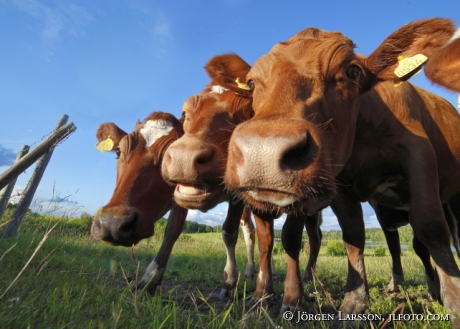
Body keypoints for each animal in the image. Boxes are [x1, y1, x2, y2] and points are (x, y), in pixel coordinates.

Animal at [224, 16, 460, 322]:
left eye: (353, 71)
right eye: (252, 82)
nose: (262, 153)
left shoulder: (419, 154)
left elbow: (431, 227)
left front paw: (454, 301)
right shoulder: (340, 184)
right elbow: (353, 234)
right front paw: (354, 304)